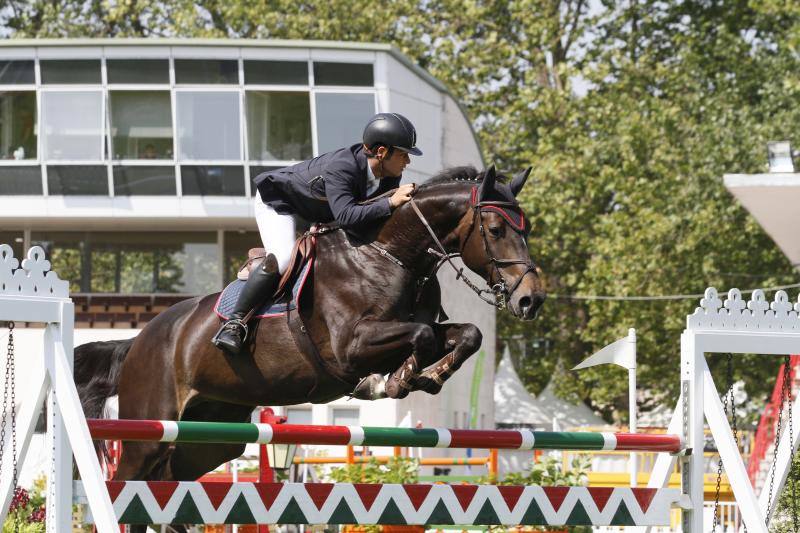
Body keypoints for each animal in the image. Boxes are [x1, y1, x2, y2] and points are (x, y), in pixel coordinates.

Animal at [75, 165, 544, 490]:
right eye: (496, 229)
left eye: (528, 229)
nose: (531, 299)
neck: (389, 255)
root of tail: (140, 338)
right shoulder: (351, 346)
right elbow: (423, 338)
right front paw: (396, 380)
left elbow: (467, 335)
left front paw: (426, 376)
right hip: (149, 428)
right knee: (127, 479)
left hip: (214, 433)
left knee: (171, 478)